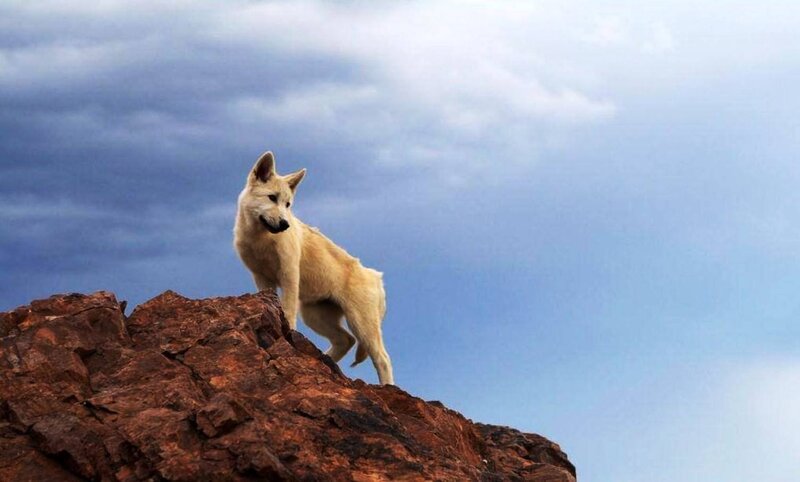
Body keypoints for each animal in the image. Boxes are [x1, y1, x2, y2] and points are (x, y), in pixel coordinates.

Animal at [234, 151, 393, 385]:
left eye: (288, 204)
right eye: (272, 197)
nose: (285, 224)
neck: (261, 239)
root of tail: (377, 277)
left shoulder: (289, 276)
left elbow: (287, 313)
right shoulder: (261, 278)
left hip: (361, 323)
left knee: (382, 358)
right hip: (314, 315)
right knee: (346, 340)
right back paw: (326, 360)